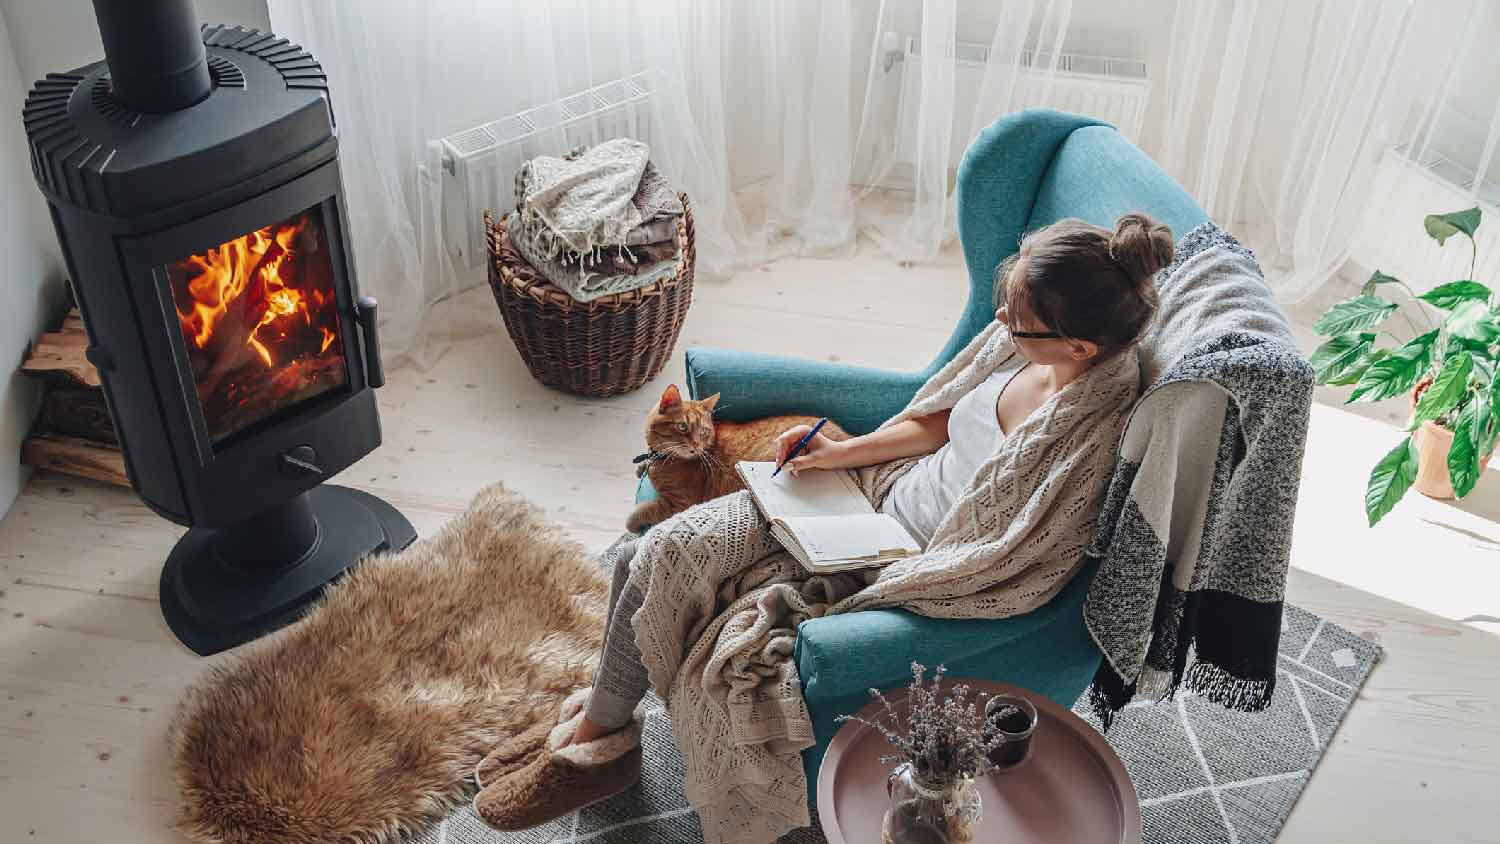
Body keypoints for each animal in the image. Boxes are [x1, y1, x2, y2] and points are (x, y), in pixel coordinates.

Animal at [627, 383, 852, 533]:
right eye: (682, 427)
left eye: (703, 432)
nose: (696, 445)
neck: (662, 458)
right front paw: (641, 467)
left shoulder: (680, 504)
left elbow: (645, 510)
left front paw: (632, 522)